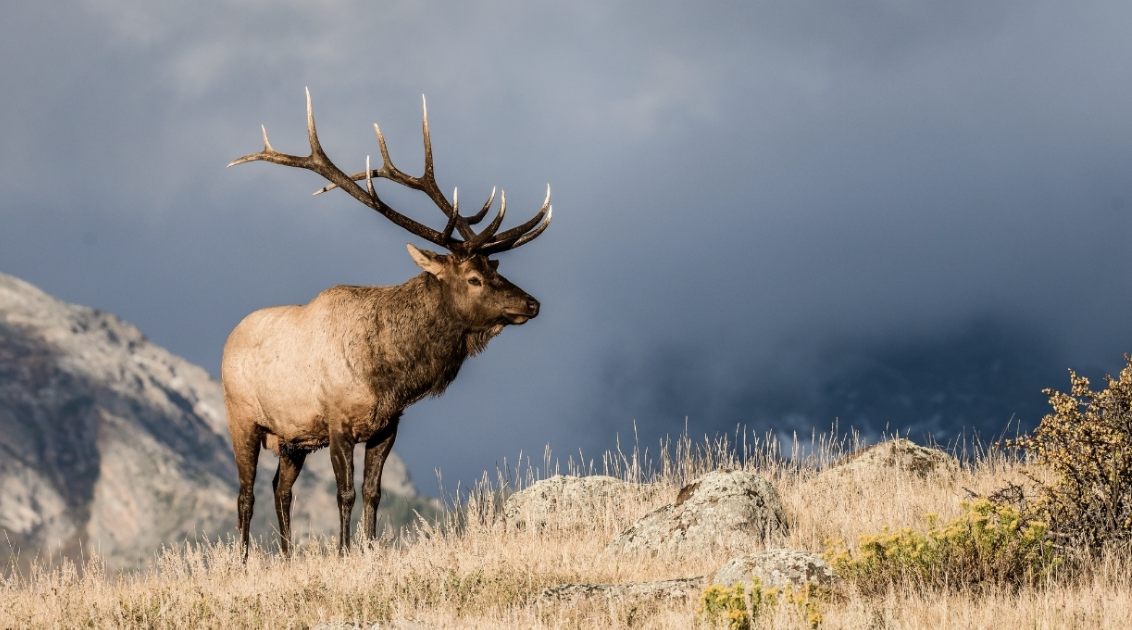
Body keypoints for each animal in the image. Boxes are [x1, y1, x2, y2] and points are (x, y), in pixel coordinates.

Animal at [222, 89, 551, 558]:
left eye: (496, 268)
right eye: (473, 278)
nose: (532, 303)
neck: (388, 374)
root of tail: (229, 338)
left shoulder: (387, 426)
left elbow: (373, 492)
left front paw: (370, 547)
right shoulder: (337, 421)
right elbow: (345, 493)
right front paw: (344, 551)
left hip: (292, 439)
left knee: (279, 489)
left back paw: (286, 557)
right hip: (242, 418)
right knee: (246, 493)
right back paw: (246, 560)